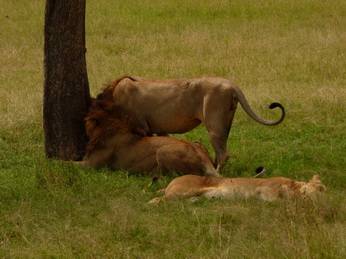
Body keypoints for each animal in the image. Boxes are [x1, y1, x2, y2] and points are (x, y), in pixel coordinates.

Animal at [98, 75, 286, 173]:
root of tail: (230, 83)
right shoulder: (160, 129)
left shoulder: (142, 126)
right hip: (225, 123)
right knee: (219, 151)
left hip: (214, 124)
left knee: (223, 154)